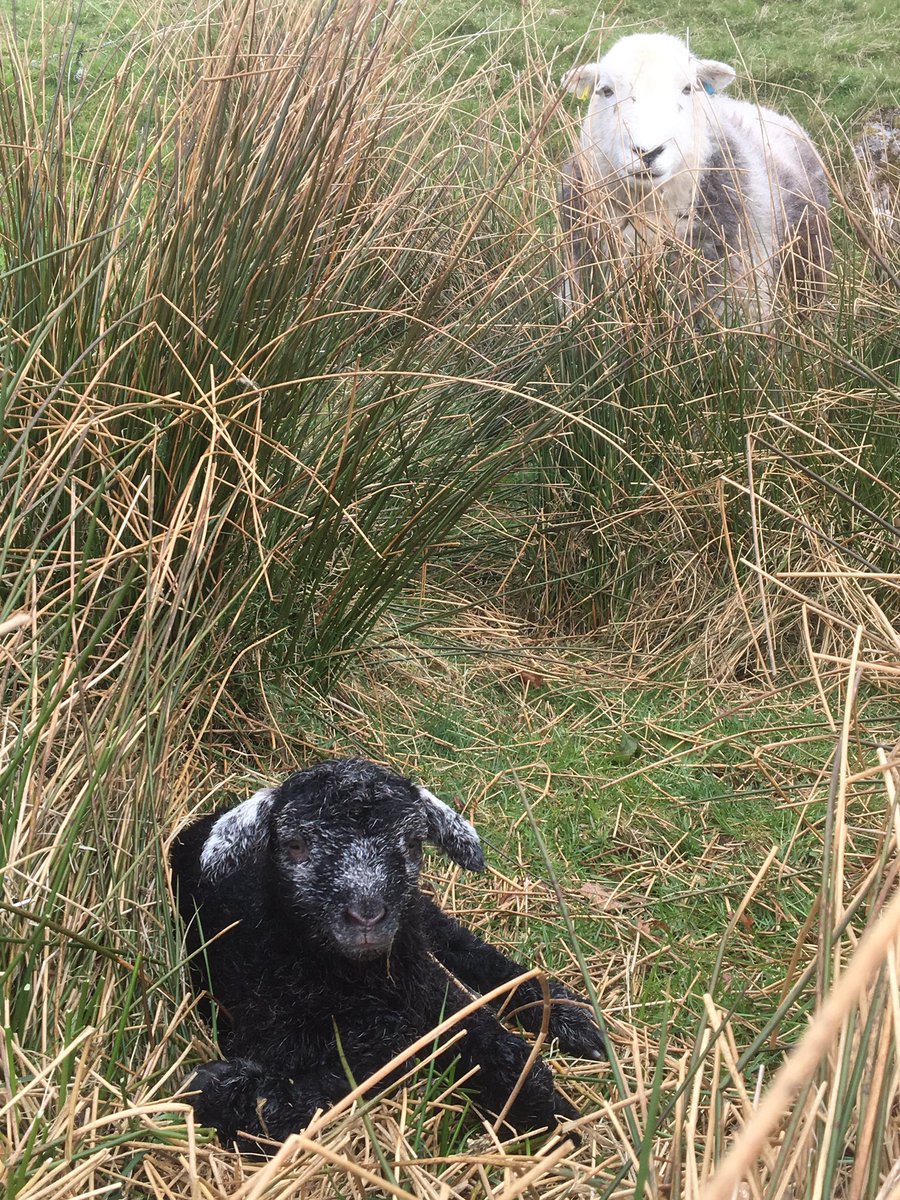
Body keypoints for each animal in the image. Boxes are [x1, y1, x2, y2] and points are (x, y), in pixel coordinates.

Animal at [170, 757, 605, 1154]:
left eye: (412, 843)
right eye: (295, 846)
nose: (367, 915)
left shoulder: (433, 991)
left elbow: (506, 1054)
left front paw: (564, 1125)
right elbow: (304, 1097)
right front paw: (222, 1089)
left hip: (418, 913)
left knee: (461, 943)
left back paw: (567, 1015)